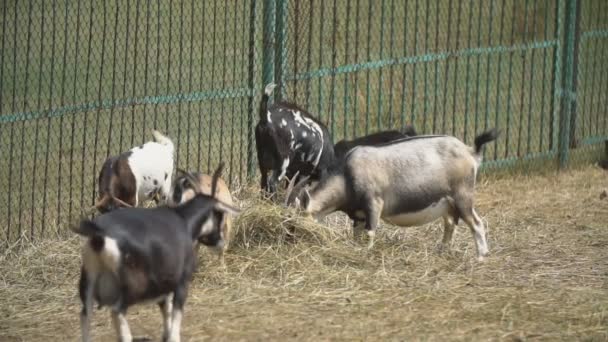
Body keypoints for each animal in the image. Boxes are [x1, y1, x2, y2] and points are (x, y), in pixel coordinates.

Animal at [72, 163, 239, 342]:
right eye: (218, 214)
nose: (220, 242)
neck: (183, 219)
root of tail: (99, 236)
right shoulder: (181, 281)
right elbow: (177, 311)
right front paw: (173, 337)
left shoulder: (165, 281)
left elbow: (166, 309)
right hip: (133, 286)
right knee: (117, 310)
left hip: (89, 282)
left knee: (85, 315)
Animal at [284, 130, 498, 260]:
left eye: (295, 222)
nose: (289, 242)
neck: (346, 175)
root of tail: (470, 152)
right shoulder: (359, 215)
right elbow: (357, 235)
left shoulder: (373, 203)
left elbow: (370, 233)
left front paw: (367, 254)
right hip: (448, 202)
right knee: (450, 223)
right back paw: (442, 250)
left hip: (463, 196)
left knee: (476, 223)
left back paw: (481, 256)